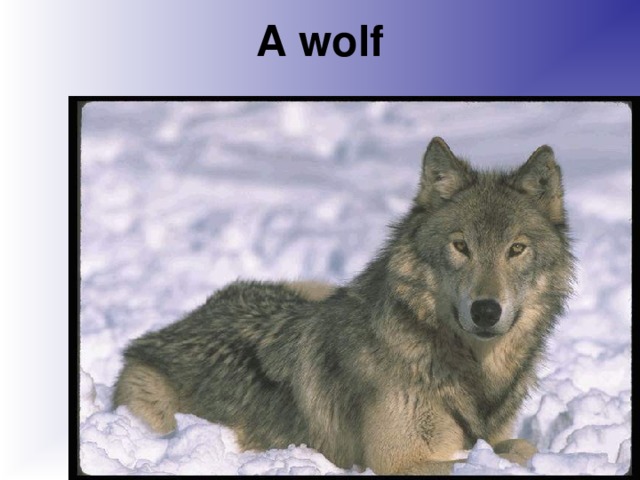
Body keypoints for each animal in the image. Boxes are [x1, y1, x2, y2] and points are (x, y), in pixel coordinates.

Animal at [113, 137, 574, 474]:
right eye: (461, 246)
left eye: (516, 249)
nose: (486, 311)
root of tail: (165, 332)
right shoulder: (401, 462)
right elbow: (515, 451)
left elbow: (517, 444)